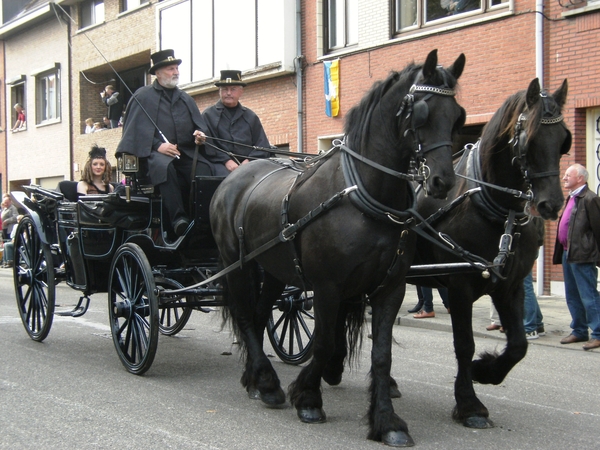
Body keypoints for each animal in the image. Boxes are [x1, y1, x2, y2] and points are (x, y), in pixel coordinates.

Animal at [211, 50, 468, 446]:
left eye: (457, 116)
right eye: (422, 113)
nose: (442, 182)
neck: (366, 196)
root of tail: (234, 176)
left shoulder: (390, 288)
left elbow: (382, 355)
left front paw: (387, 421)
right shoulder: (327, 287)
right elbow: (324, 343)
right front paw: (308, 397)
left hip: (273, 268)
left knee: (257, 314)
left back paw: (255, 379)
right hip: (236, 264)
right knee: (243, 316)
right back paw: (267, 382)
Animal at [410, 78, 568, 428]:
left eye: (564, 140)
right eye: (529, 139)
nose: (552, 205)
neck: (497, 209)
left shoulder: (510, 286)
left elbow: (519, 344)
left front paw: (485, 370)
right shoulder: (459, 286)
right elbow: (464, 344)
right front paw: (469, 405)